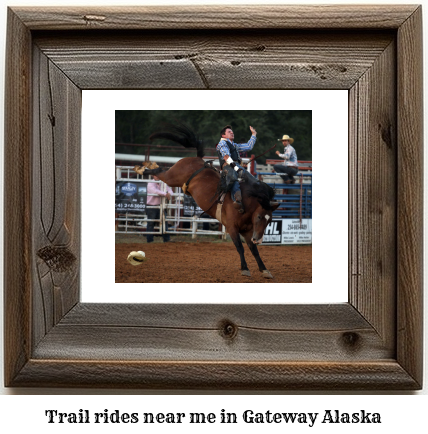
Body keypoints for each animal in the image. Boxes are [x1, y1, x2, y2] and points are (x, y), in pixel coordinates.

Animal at [137, 124, 282, 278]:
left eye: (269, 220)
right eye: (259, 216)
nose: (259, 239)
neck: (246, 205)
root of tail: (196, 159)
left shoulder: (248, 231)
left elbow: (253, 249)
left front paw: (264, 269)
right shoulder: (232, 228)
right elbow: (240, 247)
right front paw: (244, 269)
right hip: (172, 177)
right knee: (160, 171)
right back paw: (142, 168)